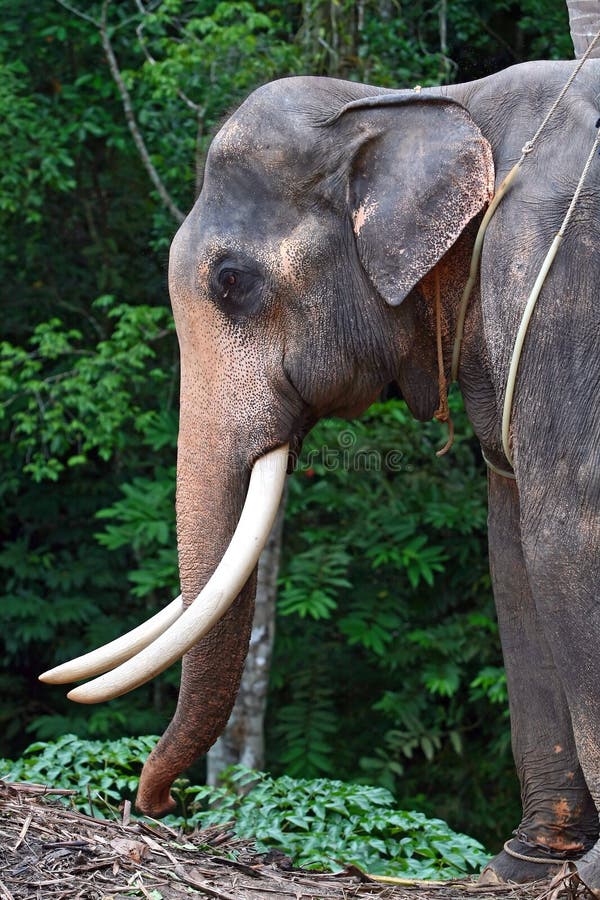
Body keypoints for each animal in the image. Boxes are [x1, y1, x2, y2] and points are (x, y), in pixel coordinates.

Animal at [41, 57, 600, 889]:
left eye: (232, 281)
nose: (160, 806)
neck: (433, 103)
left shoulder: (560, 284)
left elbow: (566, 532)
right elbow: (515, 547)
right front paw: (524, 866)